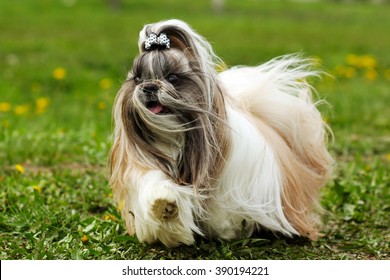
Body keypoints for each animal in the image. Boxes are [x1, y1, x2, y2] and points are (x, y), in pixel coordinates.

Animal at [107, 19, 332, 247]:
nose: (149, 86)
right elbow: (156, 187)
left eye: (172, 77)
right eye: (137, 79)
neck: (176, 137)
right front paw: (166, 205)